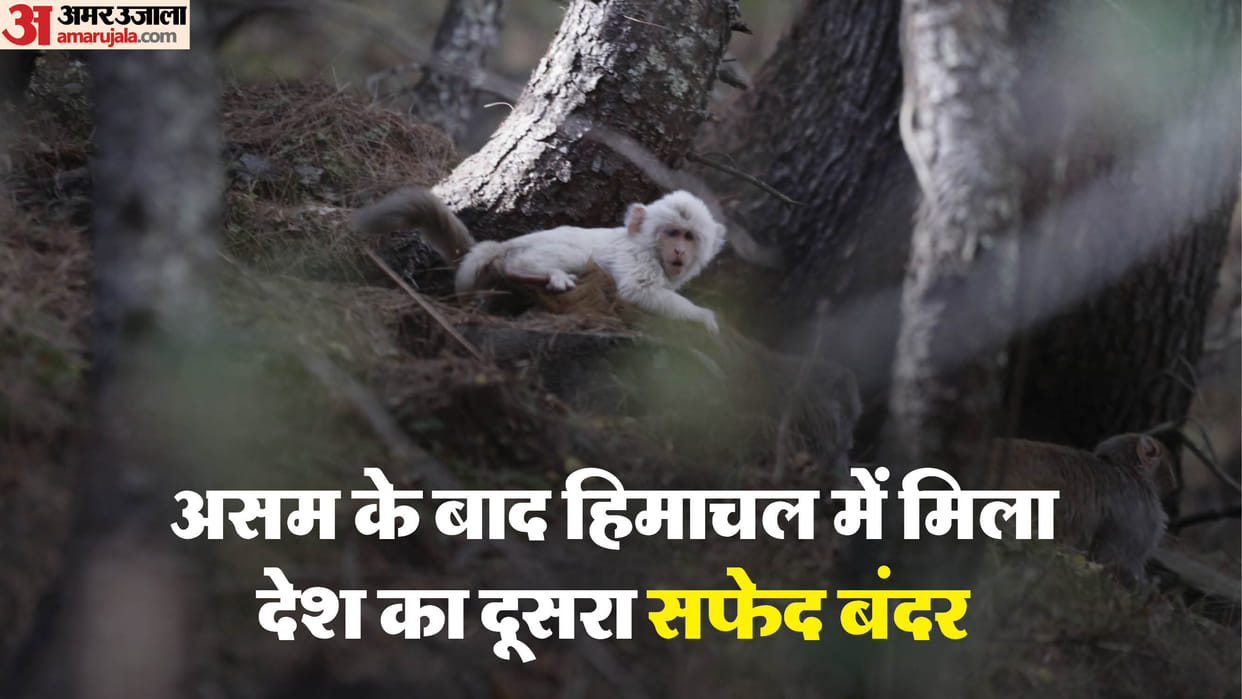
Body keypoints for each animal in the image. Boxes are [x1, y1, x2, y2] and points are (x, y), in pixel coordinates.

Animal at [352, 187, 727, 333]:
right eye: (671, 233)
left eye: (689, 237)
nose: (679, 252)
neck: (649, 248)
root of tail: (506, 246)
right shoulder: (637, 257)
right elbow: (637, 290)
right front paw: (703, 317)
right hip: (529, 253)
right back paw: (535, 273)